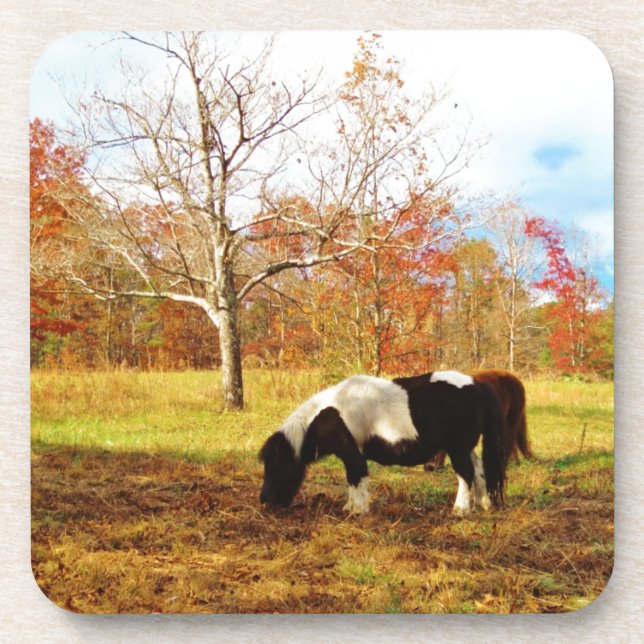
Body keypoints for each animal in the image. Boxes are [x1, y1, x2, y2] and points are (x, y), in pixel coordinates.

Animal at [259, 370, 508, 516]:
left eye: (276, 466)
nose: (265, 501)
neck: (330, 413)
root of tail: (477, 385)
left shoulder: (353, 455)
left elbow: (356, 480)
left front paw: (357, 511)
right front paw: (350, 507)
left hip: (457, 447)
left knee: (465, 473)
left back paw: (460, 510)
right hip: (465, 447)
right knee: (479, 470)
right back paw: (483, 503)